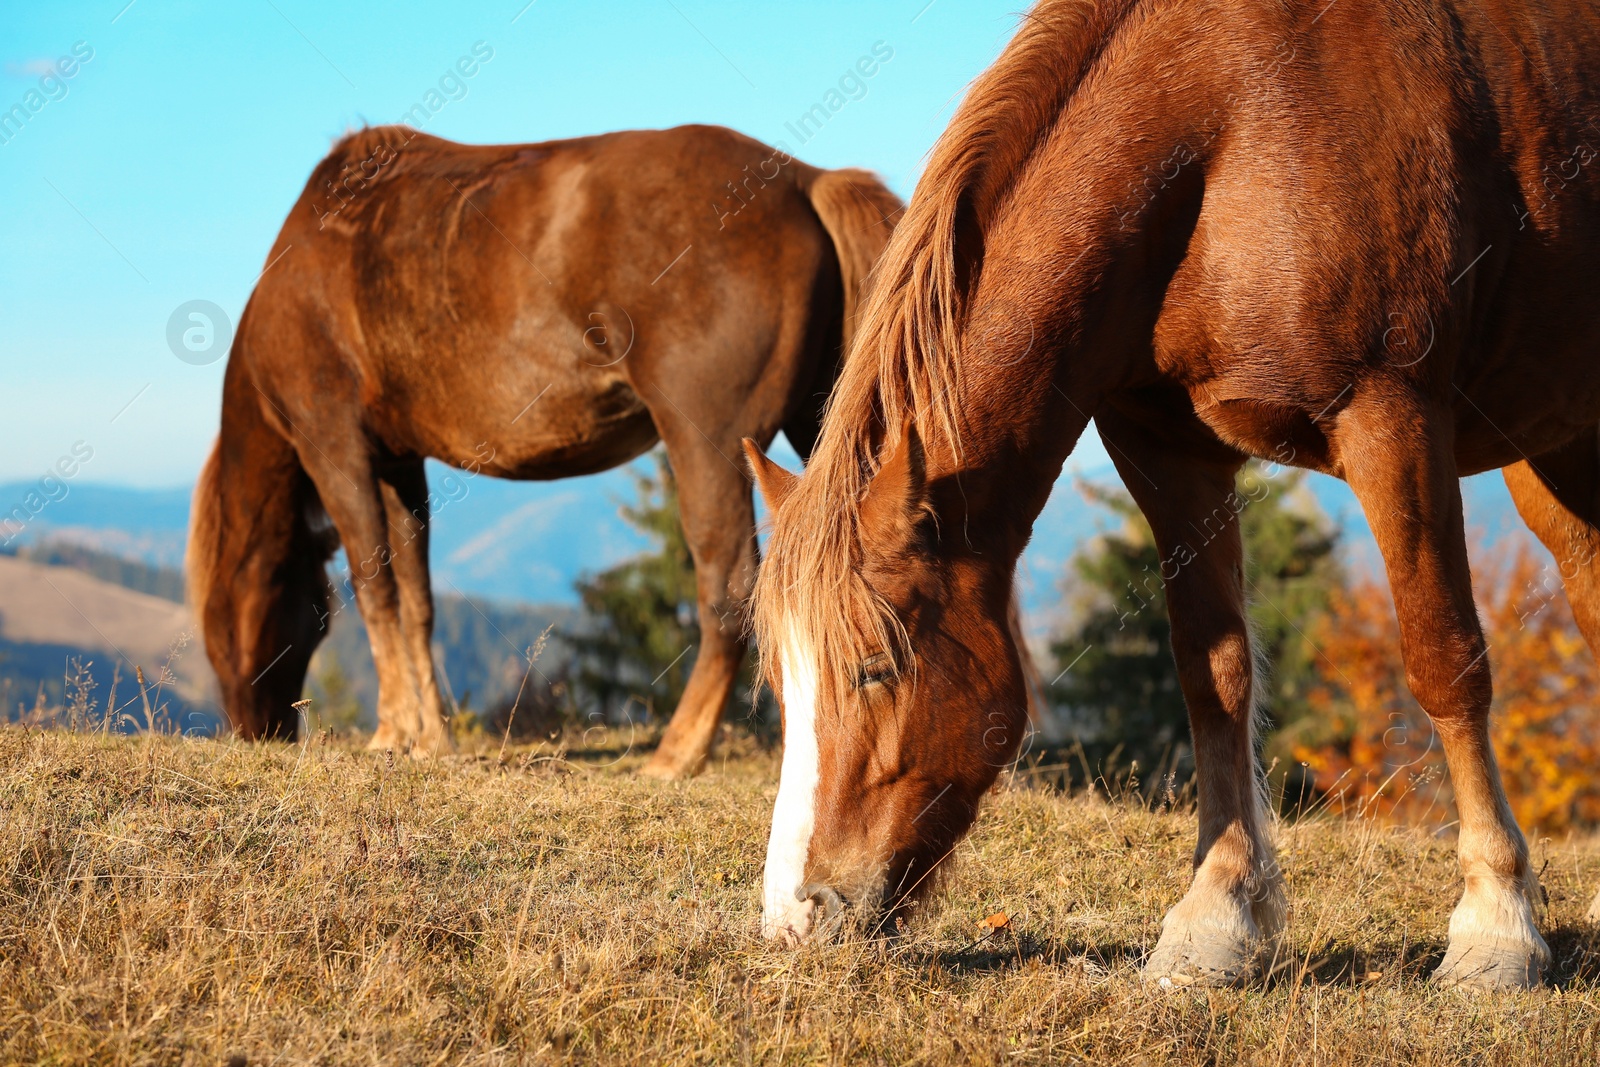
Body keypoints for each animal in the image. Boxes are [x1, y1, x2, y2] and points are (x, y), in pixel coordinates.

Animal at [187, 123, 902, 777]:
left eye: (220, 624)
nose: (258, 732)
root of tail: (805, 180)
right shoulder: (398, 463)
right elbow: (416, 599)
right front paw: (428, 735)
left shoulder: (336, 448)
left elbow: (374, 587)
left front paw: (390, 732)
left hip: (710, 443)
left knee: (728, 587)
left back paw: (676, 753)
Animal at [742, 0, 1600, 991]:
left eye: (875, 668)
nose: (793, 916)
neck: (1231, 121)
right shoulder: (1164, 448)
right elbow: (1211, 670)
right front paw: (1216, 916)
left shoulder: (1394, 417)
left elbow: (1444, 660)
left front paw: (1497, 926)